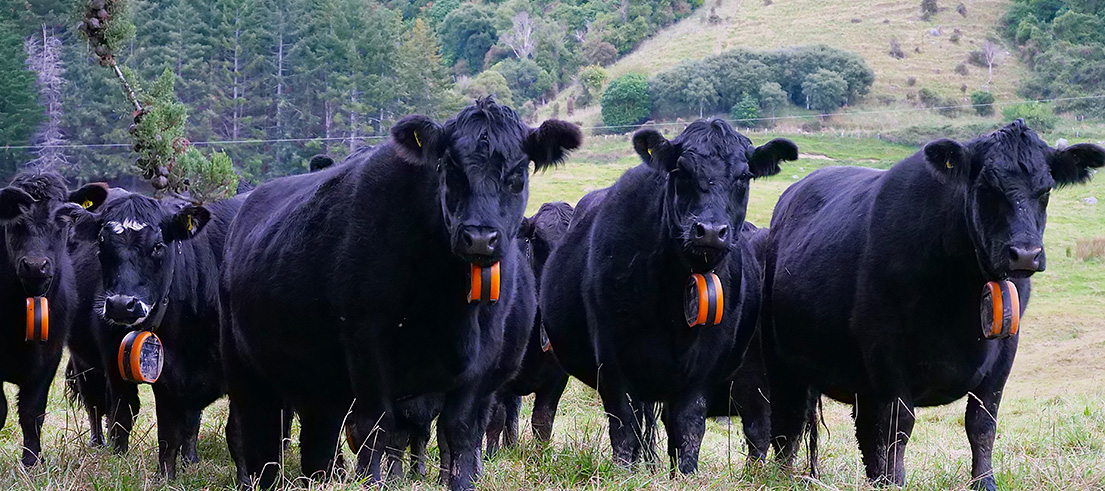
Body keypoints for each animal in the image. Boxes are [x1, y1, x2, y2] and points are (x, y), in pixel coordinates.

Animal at [0, 171, 107, 466]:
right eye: (15, 222)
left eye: (62, 221)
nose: (36, 266)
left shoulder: (50, 355)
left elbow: (32, 412)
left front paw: (32, 461)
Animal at [71, 191, 246, 478]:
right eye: (101, 243)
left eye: (157, 246)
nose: (121, 304)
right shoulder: (163, 373)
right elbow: (165, 431)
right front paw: (164, 477)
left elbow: (237, 433)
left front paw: (248, 479)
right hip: (87, 362)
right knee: (99, 404)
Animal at [484, 201, 574, 454]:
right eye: (537, 238)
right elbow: (495, 417)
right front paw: (491, 455)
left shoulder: (557, 377)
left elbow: (542, 420)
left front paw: (540, 455)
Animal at [540, 119, 796, 474]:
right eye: (681, 170)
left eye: (744, 176)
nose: (711, 231)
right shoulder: (612, 357)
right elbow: (624, 426)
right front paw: (624, 473)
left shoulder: (707, 367)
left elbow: (688, 427)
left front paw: (685, 473)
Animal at [760, 119, 1105, 490]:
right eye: (986, 188)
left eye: (1045, 190)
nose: (1025, 254)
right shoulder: (886, 349)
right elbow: (899, 425)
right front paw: (897, 482)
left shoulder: (1005, 351)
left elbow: (982, 423)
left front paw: (984, 482)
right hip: (783, 361)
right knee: (788, 422)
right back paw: (783, 476)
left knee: (864, 430)